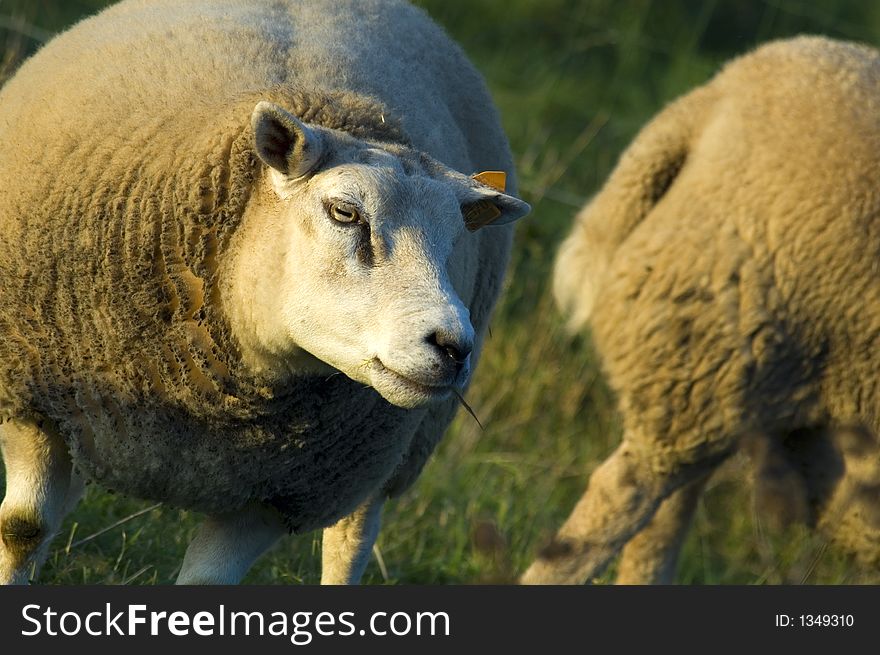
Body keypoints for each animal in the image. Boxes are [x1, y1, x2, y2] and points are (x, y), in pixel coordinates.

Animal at [0, 0, 528, 588]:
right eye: (345, 212)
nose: (455, 348)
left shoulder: (279, 494)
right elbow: (22, 530)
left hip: (382, 456)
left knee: (351, 542)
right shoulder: (34, 400)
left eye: (454, 243)